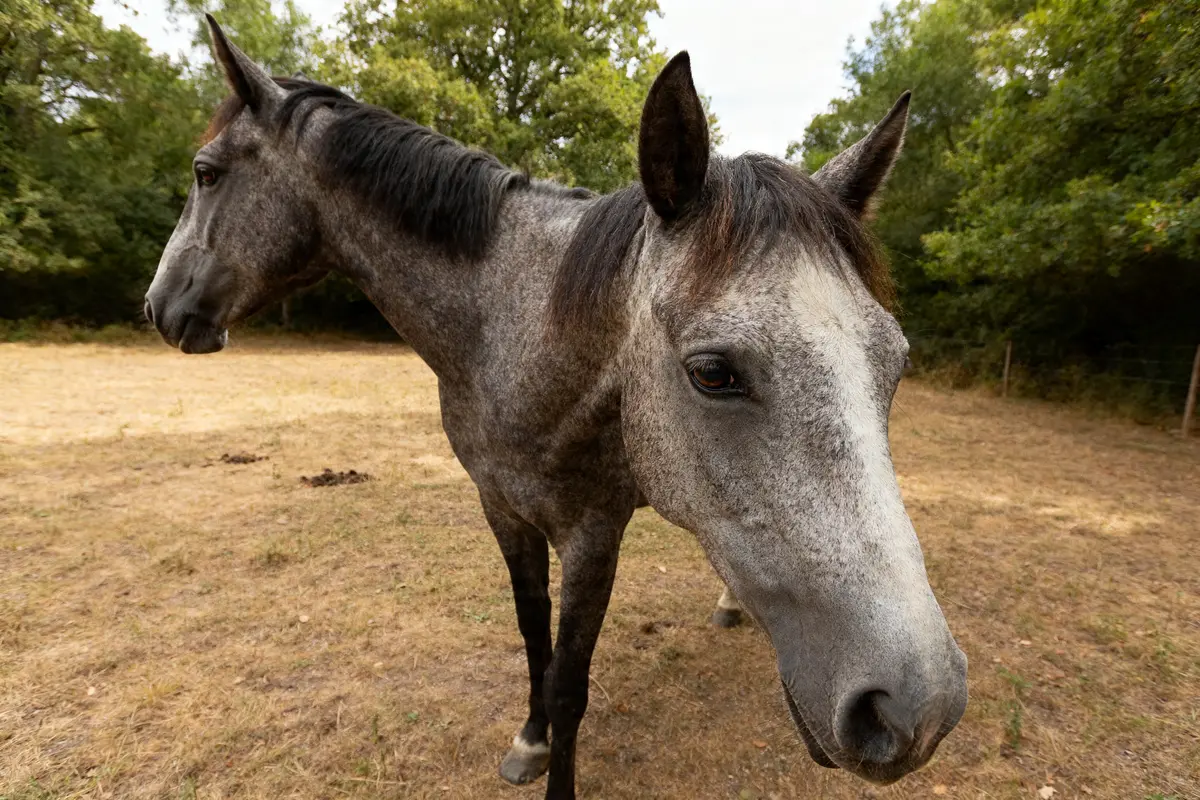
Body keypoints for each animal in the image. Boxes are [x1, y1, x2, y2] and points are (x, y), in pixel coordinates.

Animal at [145, 16, 968, 798]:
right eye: (713, 373)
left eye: (204, 172)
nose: (915, 709)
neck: (514, 331)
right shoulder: (502, 508)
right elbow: (531, 634)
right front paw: (530, 741)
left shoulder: (593, 535)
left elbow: (571, 680)